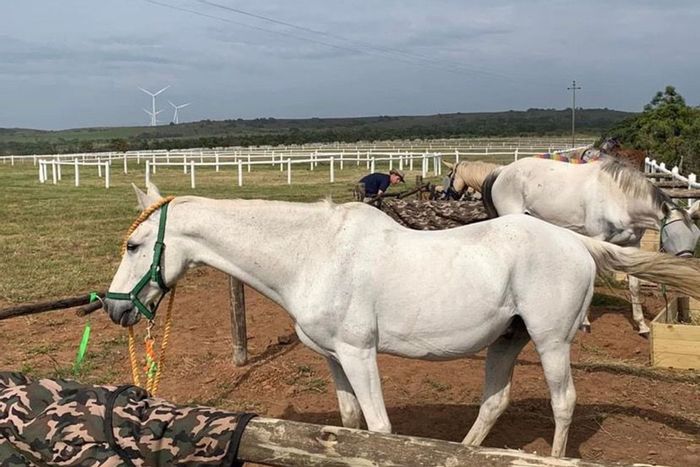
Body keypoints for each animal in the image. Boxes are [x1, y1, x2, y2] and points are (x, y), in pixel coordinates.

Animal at [104, 182, 700, 458]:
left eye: (134, 245)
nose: (114, 308)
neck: (314, 253)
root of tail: (577, 242)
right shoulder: (335, 359)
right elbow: (347, 426)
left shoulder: (359, 353)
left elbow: (380, 430)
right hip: (508, 340)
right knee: (493, 402)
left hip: (552, 343)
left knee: (563, 404)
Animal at [481, 155, 700, 334]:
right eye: (673, 235)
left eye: (695, 235)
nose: (688, 270)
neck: (619, 197)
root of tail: (503, 170)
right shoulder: (599, 238)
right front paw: (585, 323)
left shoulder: (632, 244)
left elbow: (635, 286)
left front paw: (642, 326)